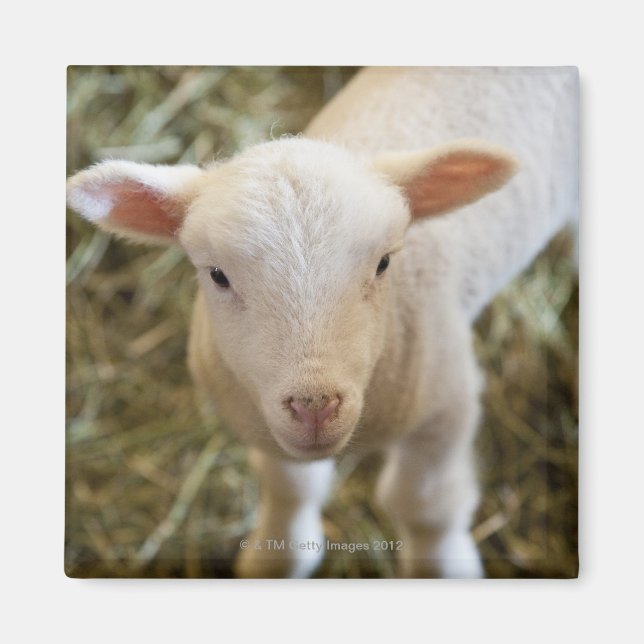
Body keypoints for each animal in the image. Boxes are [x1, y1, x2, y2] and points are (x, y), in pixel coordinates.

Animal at [66, 66, 578, 578]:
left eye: (384, 263)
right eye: (217, 275)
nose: (315, 407)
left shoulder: (447, 404)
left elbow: (425, 504)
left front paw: (446, 568)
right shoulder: (268, 427)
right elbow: (291, 489)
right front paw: (276, 559)